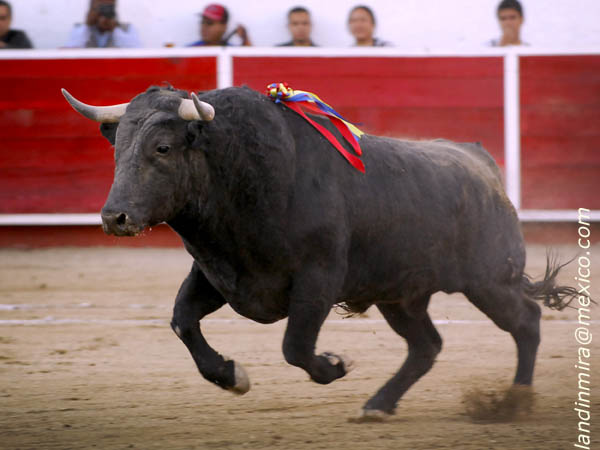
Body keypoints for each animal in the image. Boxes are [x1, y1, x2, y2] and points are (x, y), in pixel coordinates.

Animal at [62, 85, 576, 418]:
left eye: (163, 148)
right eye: (117, 150)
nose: (115, 217)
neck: (247, 175)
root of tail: (482, 163)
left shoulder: (319, 279)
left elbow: (295, 346)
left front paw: (333, 366)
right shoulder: (220, 274)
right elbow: (182, 320)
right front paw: (232, 376)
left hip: (489, 281)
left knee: (526, 322)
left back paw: (515, 401)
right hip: (402, 295)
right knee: (426, 346)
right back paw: (379, 405)